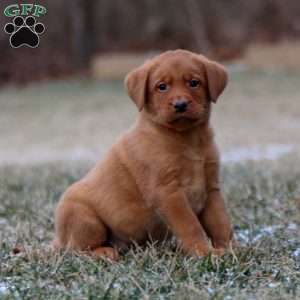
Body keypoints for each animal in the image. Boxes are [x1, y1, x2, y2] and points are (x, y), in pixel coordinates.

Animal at [52, 49, 233, 260]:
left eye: (194, 83)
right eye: (162, 87)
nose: (180, 104)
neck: (189, 140)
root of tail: (57, 240)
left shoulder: (211, 189)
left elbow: (221, 223)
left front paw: (230, 249)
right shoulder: (168, 192)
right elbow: (190, 226)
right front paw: (203, 252)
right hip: (83, 216)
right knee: (76, 249)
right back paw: (104, 251)